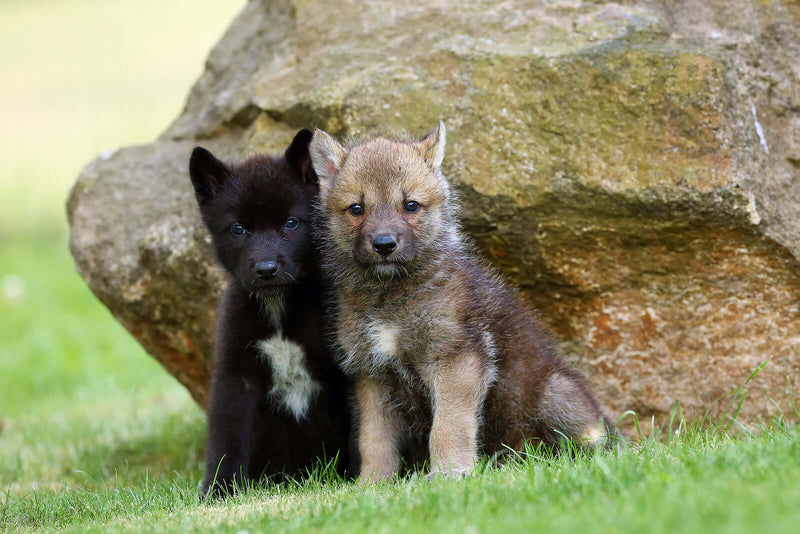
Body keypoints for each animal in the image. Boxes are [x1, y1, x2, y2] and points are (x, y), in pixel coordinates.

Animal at [189, 129, 351, 497]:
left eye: (290, 223)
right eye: (238, 229)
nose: (266, 269)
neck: (279, 309)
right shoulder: (236, 375)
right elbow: (226, 436)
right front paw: (220, 489)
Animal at [309, 121, 618, 482]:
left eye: (410, 205)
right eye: (356, 209)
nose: (384, 244)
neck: (390, 297)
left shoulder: (456, 360)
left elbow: (448, 426)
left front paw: (450, 473)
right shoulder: (373, 375)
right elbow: (374, 440)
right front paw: (372, 484)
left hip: (558, 393)